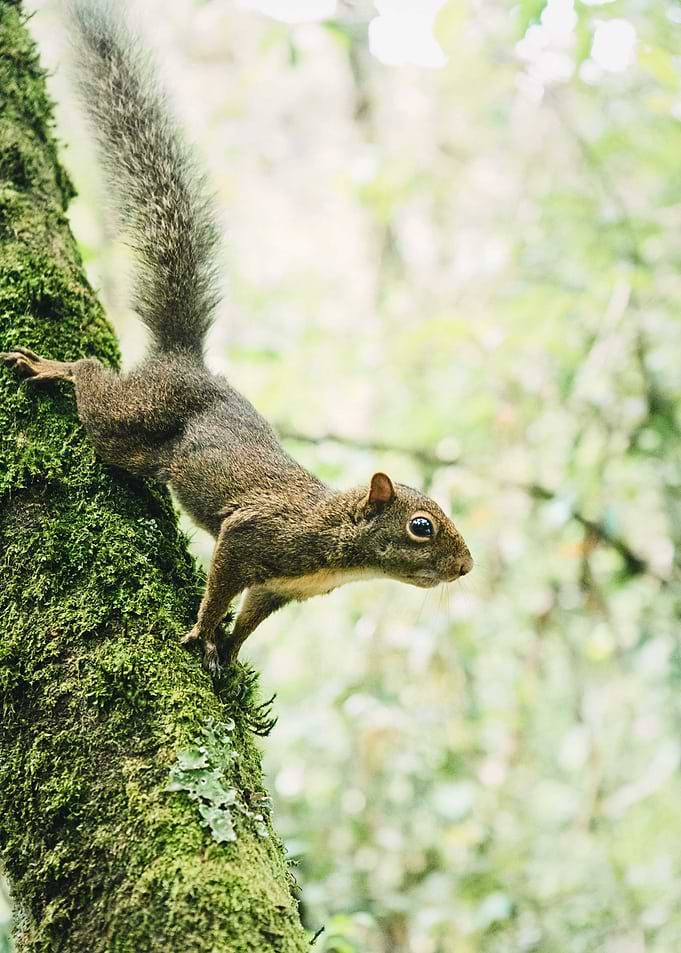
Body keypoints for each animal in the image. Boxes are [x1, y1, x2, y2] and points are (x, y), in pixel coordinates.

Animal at [1, 1, 473, 675]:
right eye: (421, 528)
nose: (467, 567)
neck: (335, 542)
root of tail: (184, 358)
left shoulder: (280, 589)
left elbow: (249, 619)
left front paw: (227, 652)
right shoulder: (252, 534)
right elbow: (221, 583)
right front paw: (202, 632)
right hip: (131, 418)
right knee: (95, 380)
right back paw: (53, 368)